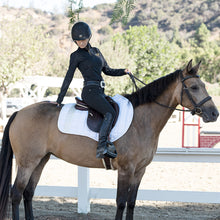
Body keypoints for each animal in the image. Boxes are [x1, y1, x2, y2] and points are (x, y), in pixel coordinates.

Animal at [0, 59, 218, 219]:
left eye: (202, 85)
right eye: (194, 87)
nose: (214, 114)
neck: (141, 121)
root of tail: (19, 112)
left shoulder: (139, 171)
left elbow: (131, 203)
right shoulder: (126, 169)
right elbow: (121, 203)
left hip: (41, 160)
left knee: (28, 193)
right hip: (27, 162)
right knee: (17, 194)